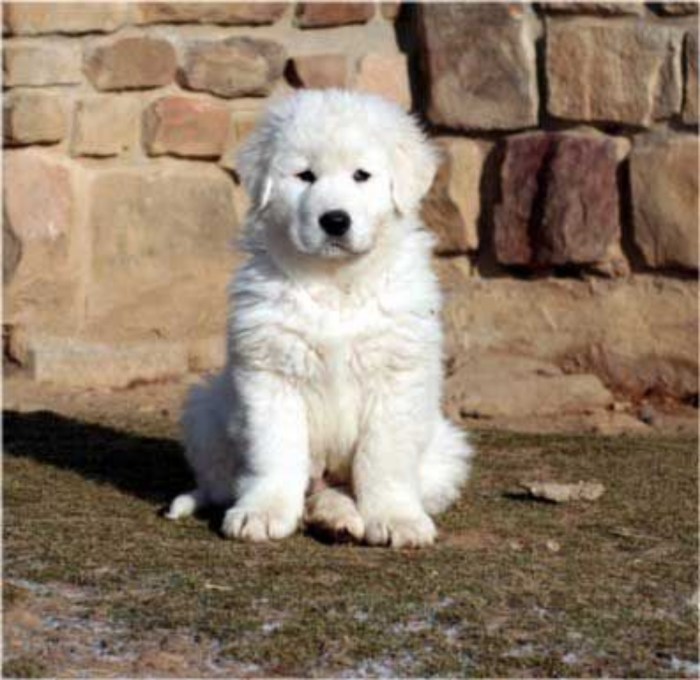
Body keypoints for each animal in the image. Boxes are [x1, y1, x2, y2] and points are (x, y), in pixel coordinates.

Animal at [165, 90, 470, 548]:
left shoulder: (396, 375)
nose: (335, 220)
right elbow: (274, 452)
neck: (335, 283)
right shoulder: (270, 370)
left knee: (347, 487)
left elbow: (384, 458)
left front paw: (396, 519)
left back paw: (339, 517)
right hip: (205, 410)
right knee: (231, 482)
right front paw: (263, 512)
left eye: (362, 175)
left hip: (445, 449)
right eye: (304, 176)